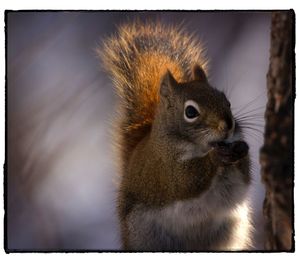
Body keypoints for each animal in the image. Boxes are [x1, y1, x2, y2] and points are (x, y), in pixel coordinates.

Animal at [99, 22, 252, 252]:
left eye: (226, 100)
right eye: (190, 112)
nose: (228, 125)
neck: (202, 145)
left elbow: (244, 177)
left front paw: (242, 149)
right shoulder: (165, 166)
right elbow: (185, 181)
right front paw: (215, 158)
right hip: (145, 236)